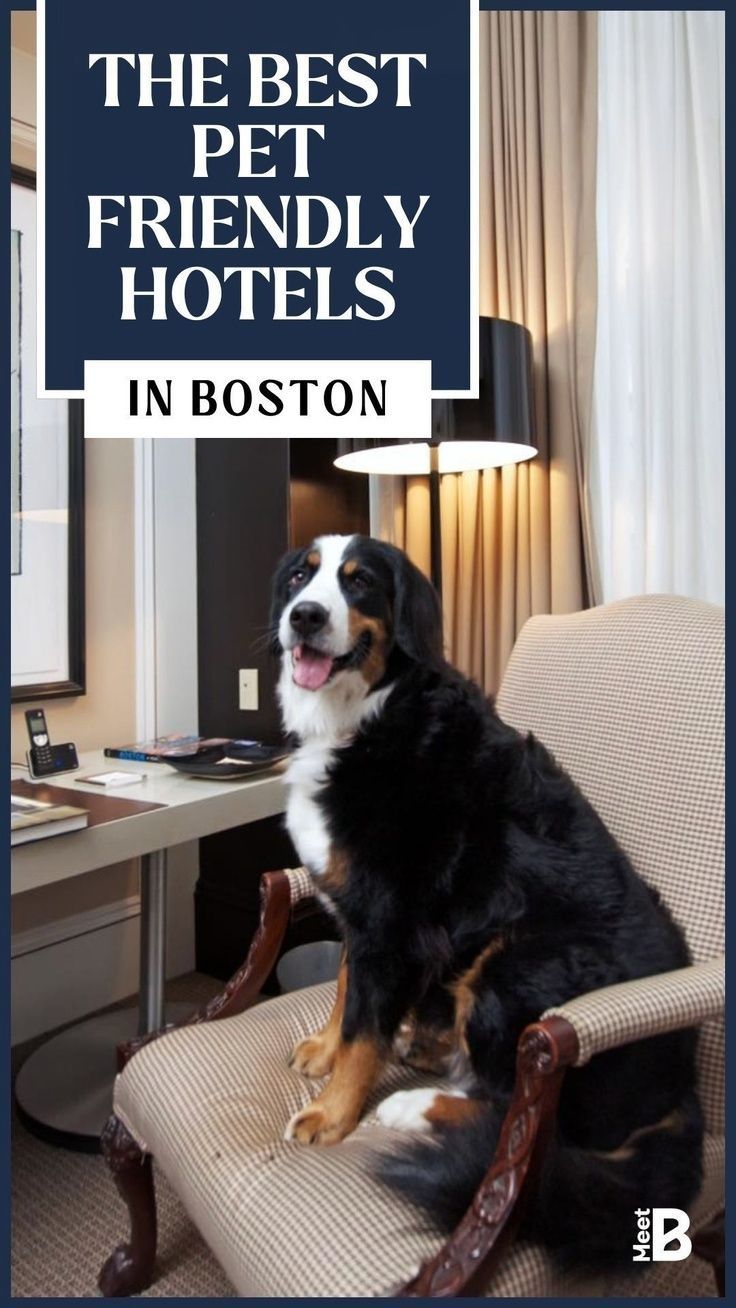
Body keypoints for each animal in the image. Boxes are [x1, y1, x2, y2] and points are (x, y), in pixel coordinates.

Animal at [270, 531, 700, 1266]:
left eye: (359, 583)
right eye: (302, 575)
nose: (305, 617)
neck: (367, 716)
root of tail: (684, 1083)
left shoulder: (388, 917)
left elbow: (364, 1028)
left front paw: (332, 1112)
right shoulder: (362, 909)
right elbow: (348, 990)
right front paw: (323, 1050)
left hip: (513, 966)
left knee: (517, 1114)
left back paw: (411, 1104)